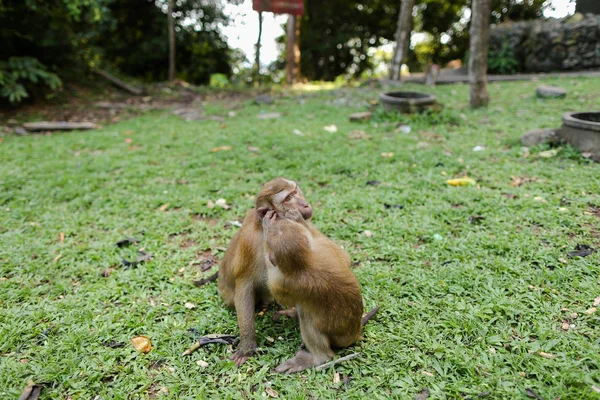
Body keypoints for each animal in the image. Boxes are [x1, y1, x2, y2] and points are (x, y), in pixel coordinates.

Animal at [219, 178, 314, 366]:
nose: (305, 204)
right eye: (288, 198)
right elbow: (244, 288)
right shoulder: (249, 244)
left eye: (296, 191)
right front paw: (247, 346)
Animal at [260, 208, 368, 374]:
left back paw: (318, 358)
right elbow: (343, 257)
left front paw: (266, 227)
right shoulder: (323, 249)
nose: (274, 218)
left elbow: (281, 295)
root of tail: (354, 334)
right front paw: (299, 219)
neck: (304, 263)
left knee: (307, 317)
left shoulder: (281, 282)